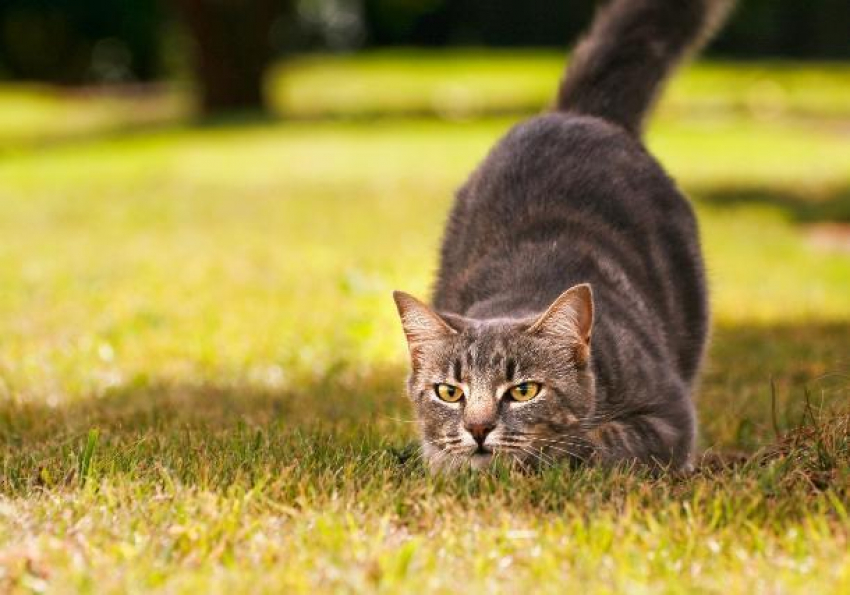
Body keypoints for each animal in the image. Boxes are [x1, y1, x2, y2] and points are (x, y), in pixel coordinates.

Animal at [390, 0, 728, 474]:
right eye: (449, 392)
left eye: (523, 390)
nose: (477, 428)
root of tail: (577, 114)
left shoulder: (669, 417)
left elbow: (597, 440)